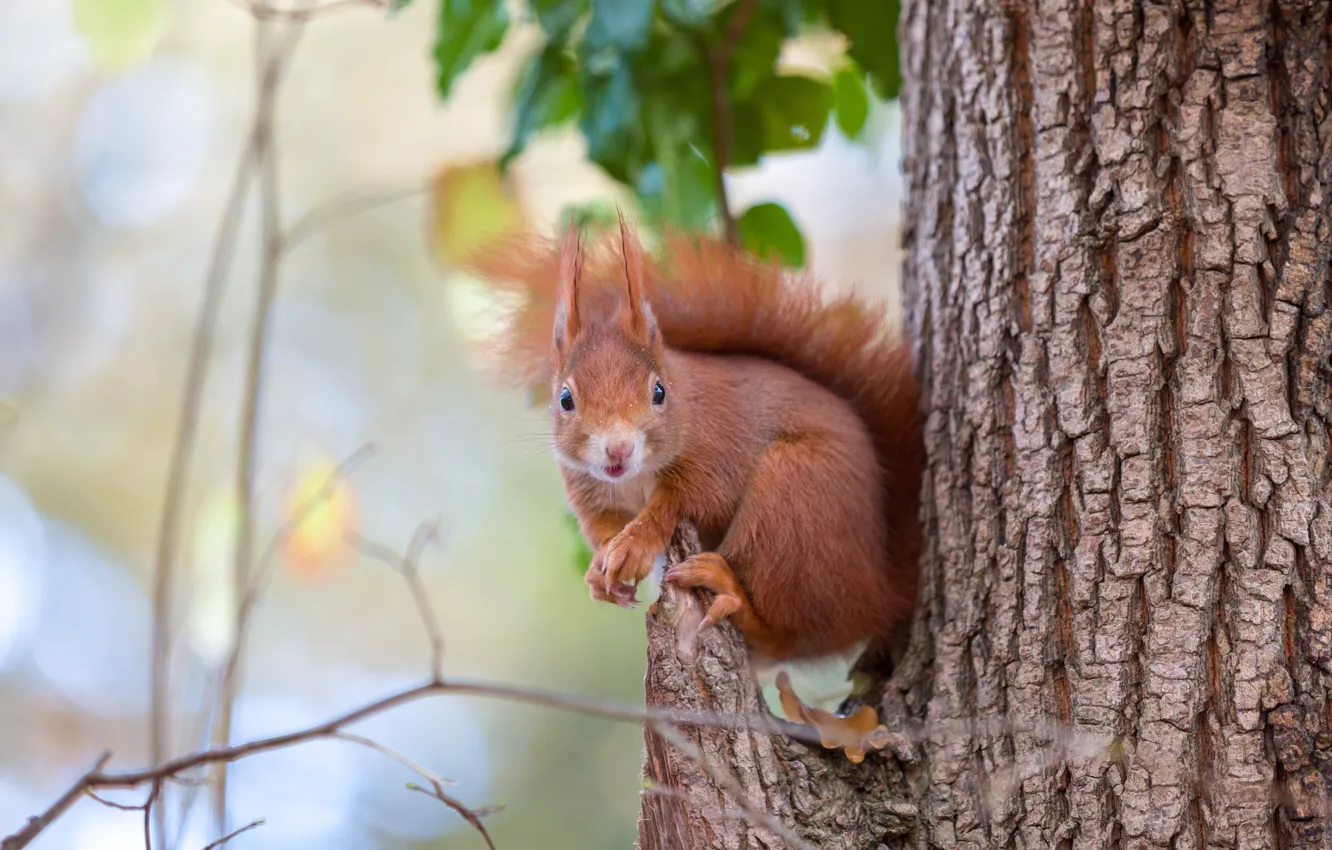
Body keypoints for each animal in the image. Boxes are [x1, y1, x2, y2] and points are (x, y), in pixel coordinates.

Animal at [469, 217, 922, 662]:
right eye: (565, 400)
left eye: (658, 392)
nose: (618, 448)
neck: (635, 476)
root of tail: (880, 592)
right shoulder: (591, 490)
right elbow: (601, 527)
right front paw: (601, 567)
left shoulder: (718, 449)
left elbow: (687, 500)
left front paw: (634, 544)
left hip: (794, 500)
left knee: (784, 633)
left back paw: (730, 591)